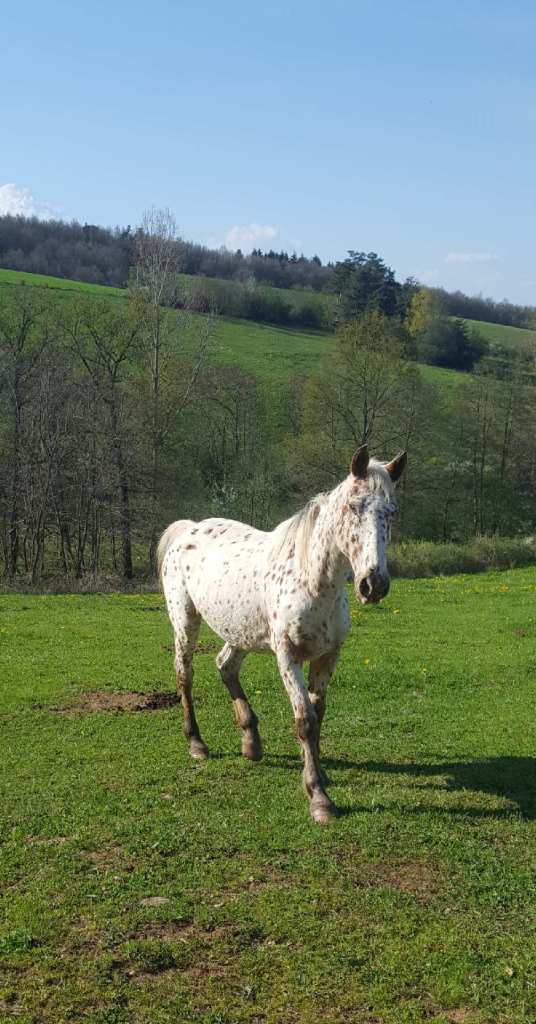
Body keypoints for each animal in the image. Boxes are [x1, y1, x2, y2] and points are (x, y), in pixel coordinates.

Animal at [157, 448, 409, 823]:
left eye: (391, 512)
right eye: (353, 506)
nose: (373, 584)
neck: (313, 580)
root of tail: (188, 529)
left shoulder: (328, 655)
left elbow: (318, 715)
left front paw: (317, 773)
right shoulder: (288, 657)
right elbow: (304, 720)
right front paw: (319, 799)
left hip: (242, 631)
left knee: (225, 665)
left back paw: (251, 743)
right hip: (185, 622)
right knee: (184, 675)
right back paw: (197, 744)